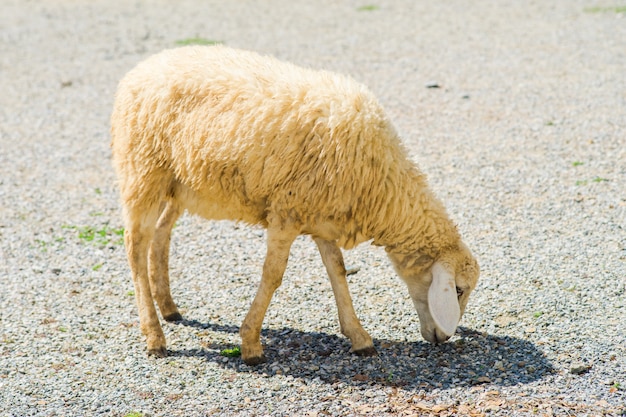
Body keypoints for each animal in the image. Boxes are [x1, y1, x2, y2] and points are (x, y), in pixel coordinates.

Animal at [109, 45, 478, 364]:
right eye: (458, 290)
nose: (444, 338)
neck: (381, 184)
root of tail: (142, 68)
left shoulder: (322, 217)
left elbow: (338, 272)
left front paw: (359, 337)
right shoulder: (286, 212)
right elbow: (273, 276)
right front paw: (251, 343)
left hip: (178, 183)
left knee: (160, 235)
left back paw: (168, 307)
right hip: (142, 170)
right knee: (135, 247)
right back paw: (154, 336)